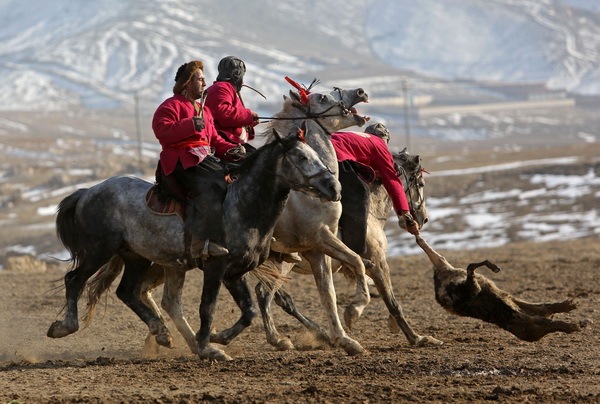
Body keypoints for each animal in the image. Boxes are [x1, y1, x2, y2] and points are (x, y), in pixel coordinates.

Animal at [47, 126, 340, 360]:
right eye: (302, 157)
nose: (334, 187)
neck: (243, 206)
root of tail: (88, 192)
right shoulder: (215, 267)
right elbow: (207, 307)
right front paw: (208, 346)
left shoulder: (235, 272)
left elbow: (249, 312)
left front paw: (217, 339)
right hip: (98, 251)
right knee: (74, 280)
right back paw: (64, 327)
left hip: (136, 256)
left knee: (129, 292)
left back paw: (162, 332)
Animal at [255, 148, 442, 350]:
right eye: (421, 183)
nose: (423, 219)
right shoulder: (379, 262)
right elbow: (392, 302)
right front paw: (417, 338)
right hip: (282, 265)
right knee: (265, 293)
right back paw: (280, 338)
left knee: (276, 297)